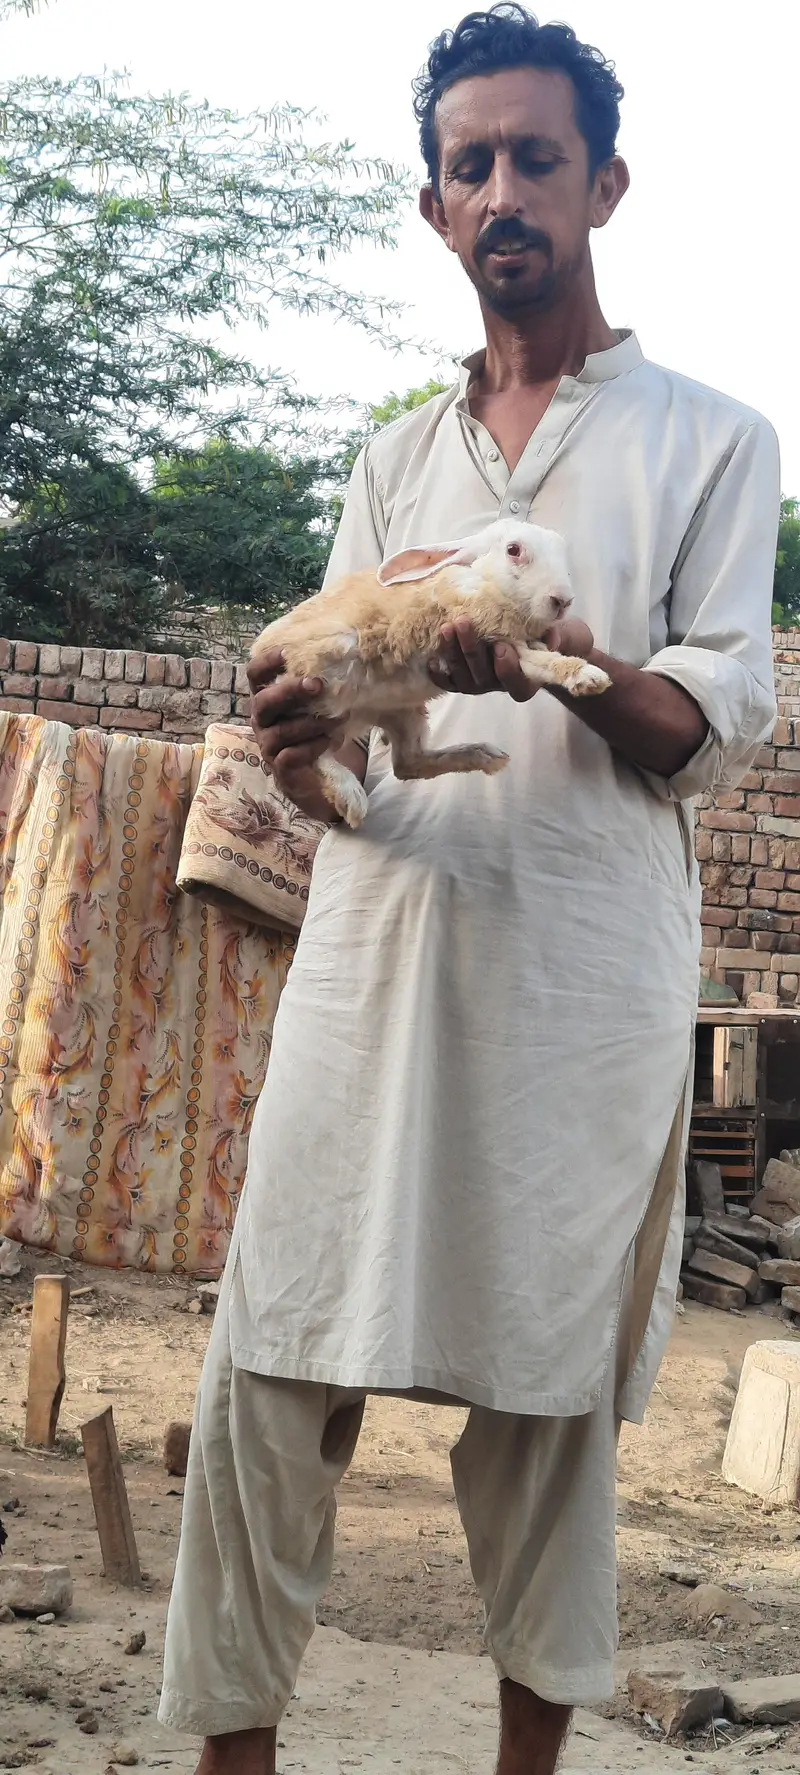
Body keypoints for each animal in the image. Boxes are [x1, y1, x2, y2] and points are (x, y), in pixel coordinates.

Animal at [250, 517, 610, 829]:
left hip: (403, 712)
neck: (484, 580)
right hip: (321, 681)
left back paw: (484, 756)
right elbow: (544, 662)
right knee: (314, 753)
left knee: (407, 763)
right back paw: (351, 796)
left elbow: (543, 655)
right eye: (513, 550)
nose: (562, 600)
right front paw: (590, 679)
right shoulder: (496, 638)